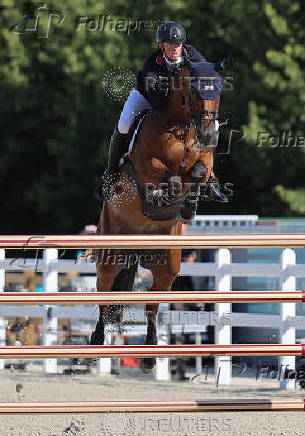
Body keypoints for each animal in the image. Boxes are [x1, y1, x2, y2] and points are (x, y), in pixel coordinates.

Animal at [89, 59, 224, 372]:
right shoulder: (145, 164)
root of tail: (137, 250)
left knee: (152, 305)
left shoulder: (204, 159)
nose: (208, 133)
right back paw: (97, 340)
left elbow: (200, 170)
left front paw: (189, 203)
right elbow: (164, 174)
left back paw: (150, 356)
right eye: (195, 91)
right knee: (104, 292)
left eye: (219, 90)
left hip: (166, 265)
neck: (182, 127)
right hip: (109, 255)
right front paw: (164, 195)